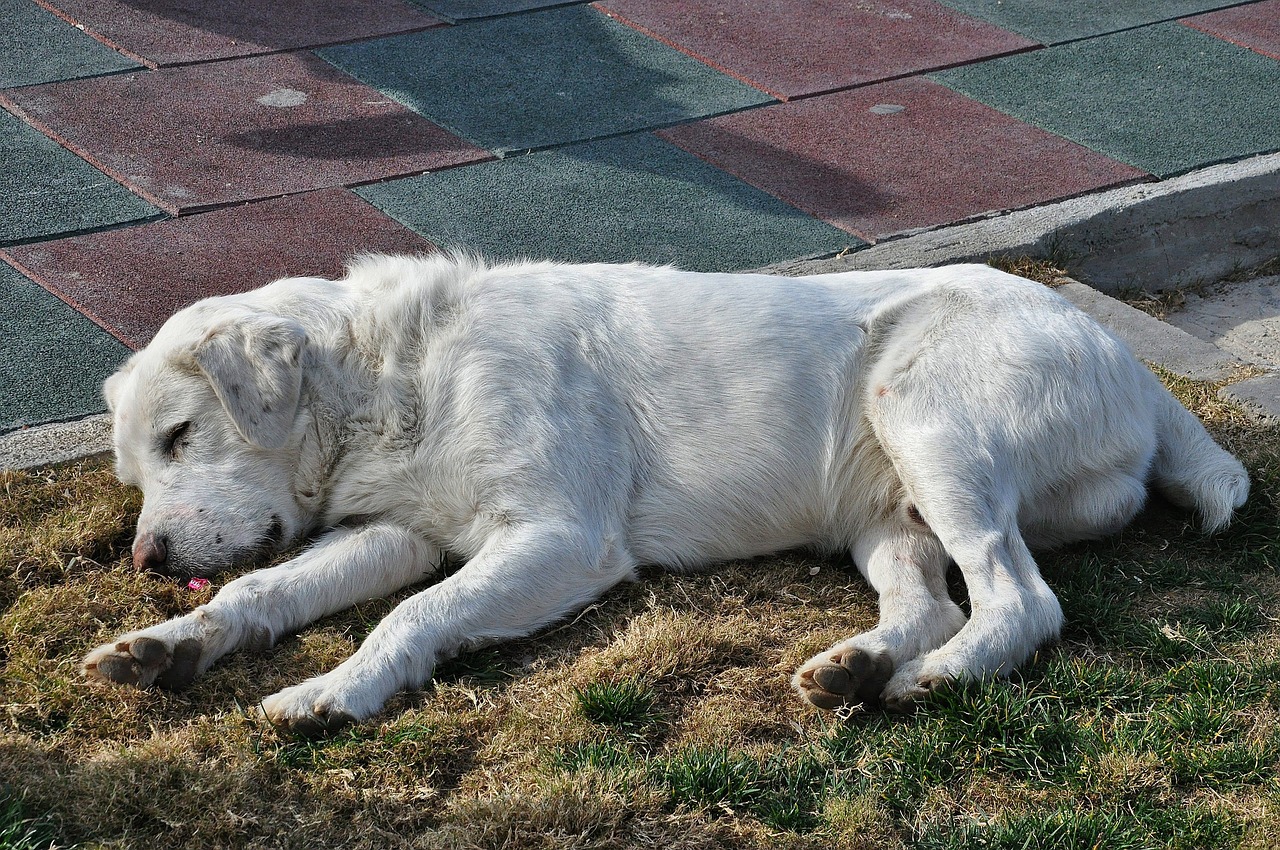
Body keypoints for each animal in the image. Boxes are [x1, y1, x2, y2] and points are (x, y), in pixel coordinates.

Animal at [85, 256, 1244, 732]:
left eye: (184, 434)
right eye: (136, 474)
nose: (145, 560)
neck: (394, 373)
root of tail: (1131, 364)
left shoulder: (560, 537)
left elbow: (413, 617)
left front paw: (337, 690)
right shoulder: (396, 529)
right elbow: (263, 593)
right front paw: (166, 646)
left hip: (925, 415)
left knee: (1019, 601)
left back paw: (937, 680)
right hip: (885, 511)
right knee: (931, 602)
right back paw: (855, 668)